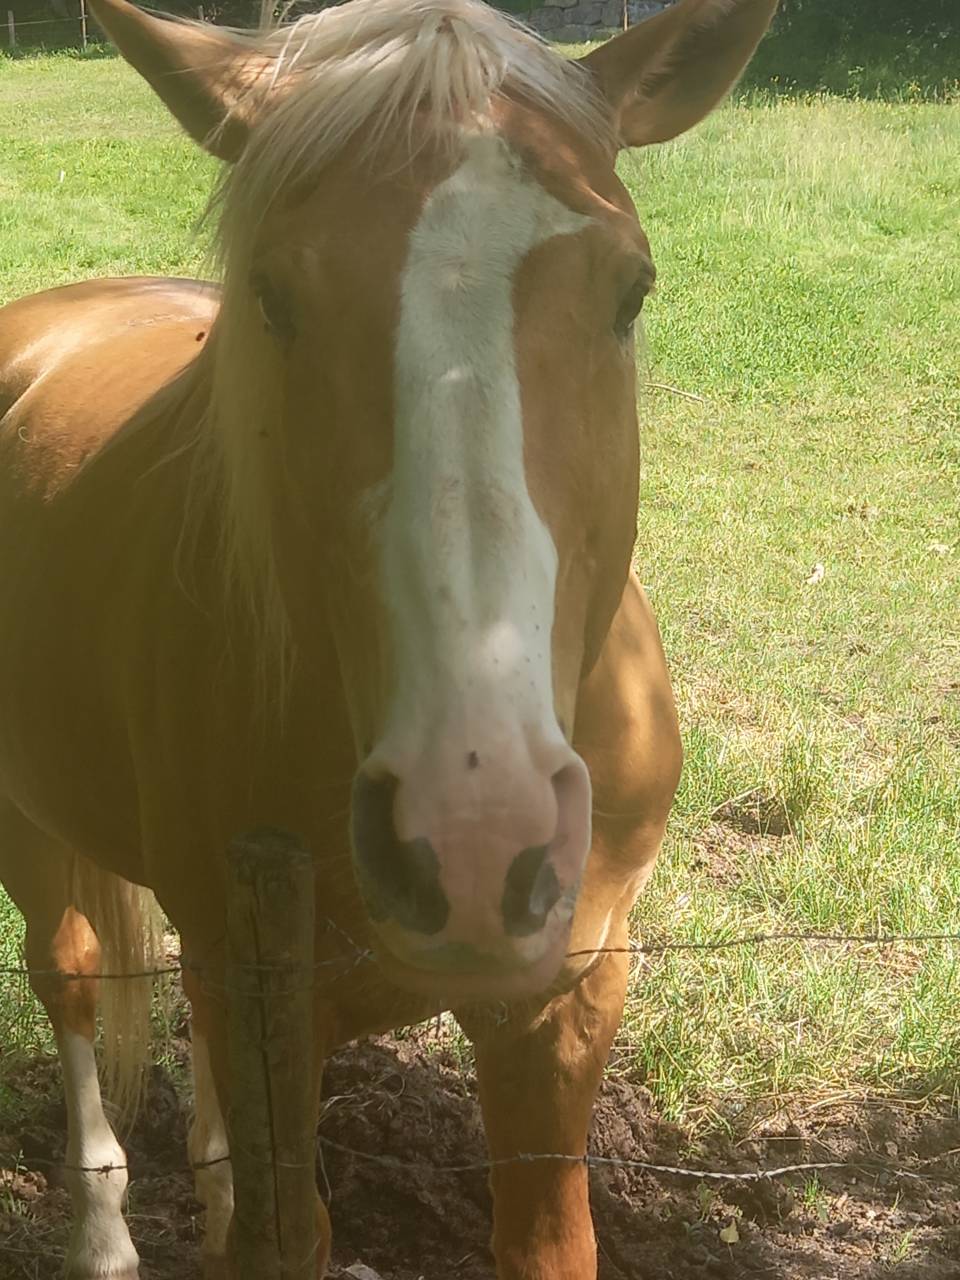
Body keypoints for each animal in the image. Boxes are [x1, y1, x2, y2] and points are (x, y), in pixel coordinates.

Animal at [0, 0, 776, 1275]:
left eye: (632, 291)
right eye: (273, 296)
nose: (474, 832)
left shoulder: (565, 997)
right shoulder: (260, 983)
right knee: (69, 976)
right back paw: (105, 1234)